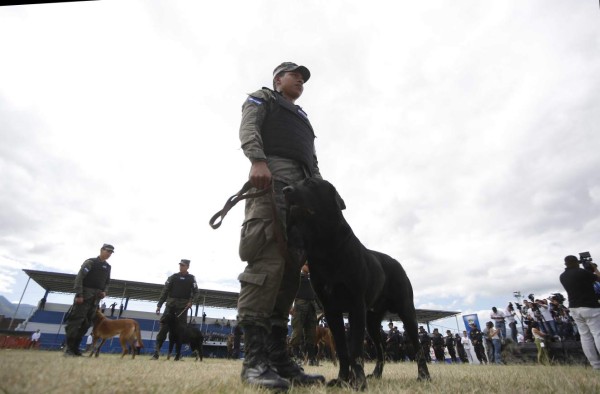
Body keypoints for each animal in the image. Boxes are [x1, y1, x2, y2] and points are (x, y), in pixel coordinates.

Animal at [284, 179, 428, 390]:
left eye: (311, 184)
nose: (285, 190)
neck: (324, 243)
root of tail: (396, 262)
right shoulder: (332, 310)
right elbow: (343, 350)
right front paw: (342, 380)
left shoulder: (356, 305)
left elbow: (355, 350)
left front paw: (357, 381)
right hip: (372, 321)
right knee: (381, 349)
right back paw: (376, 374)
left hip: (406, 311)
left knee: (418, 347)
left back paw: (424, 376)